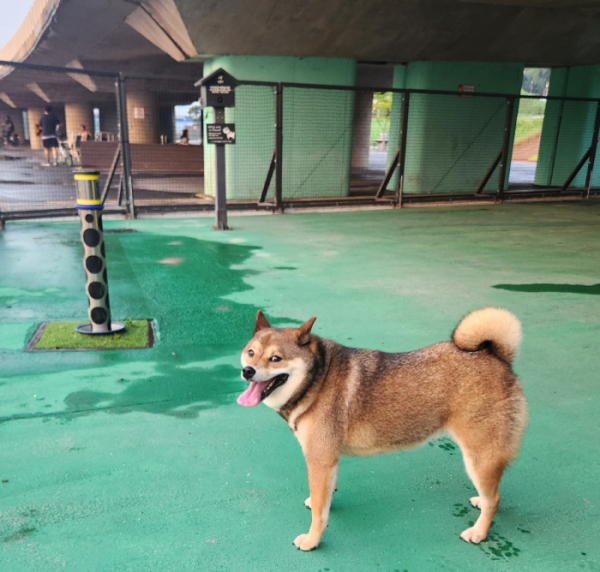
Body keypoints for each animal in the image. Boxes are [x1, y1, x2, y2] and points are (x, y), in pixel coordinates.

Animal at [237, 310, 528, 552]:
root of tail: (496, 356)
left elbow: (319, 513)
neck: (317, 379)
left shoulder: (319, 460)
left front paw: (312, 540)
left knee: (495, 499)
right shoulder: (329, 460)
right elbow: (326, 497)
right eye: (250, 352)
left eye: (276, 358)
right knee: (492, 494)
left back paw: (479, 532)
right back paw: (480, 502)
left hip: (478, 457)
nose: (247, 371)